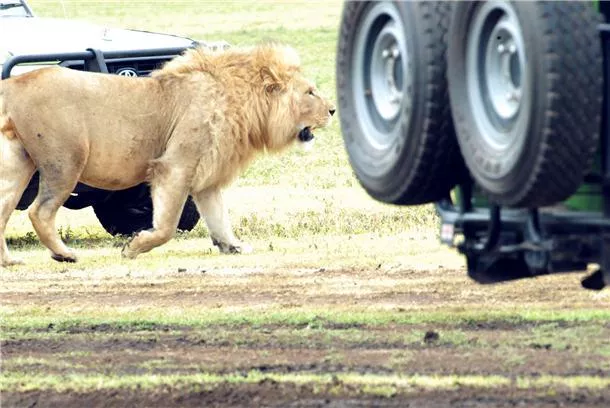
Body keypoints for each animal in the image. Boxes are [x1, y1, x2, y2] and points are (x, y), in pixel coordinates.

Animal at [0, 43, 332, 266]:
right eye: (310, 92)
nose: (332, 110)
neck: (243, 101)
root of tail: (14, 84)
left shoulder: (207, 176)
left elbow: (219, 216)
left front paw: (232, 246)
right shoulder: (174, 166)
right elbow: (167, 227)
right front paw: (133, 247)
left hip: (18, 165)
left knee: (3, 211)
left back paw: (9, 261)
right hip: (66, 160)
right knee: (40, 211)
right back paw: (64, 254)